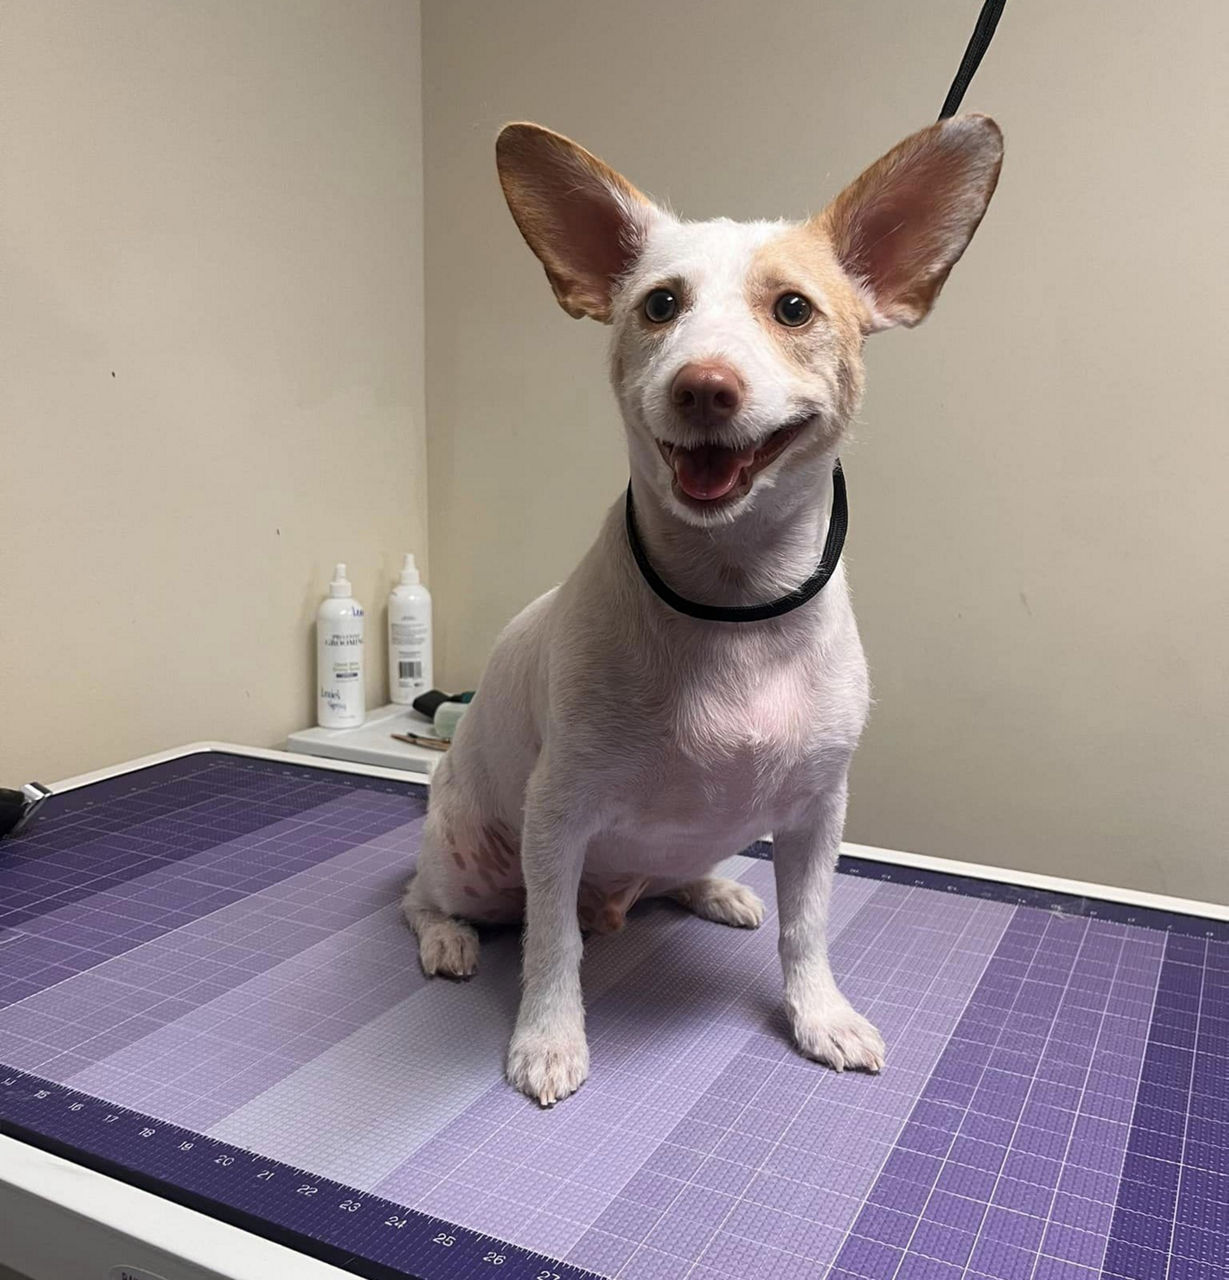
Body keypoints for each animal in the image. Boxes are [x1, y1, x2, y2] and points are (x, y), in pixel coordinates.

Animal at [407, 115, 1003, 1105]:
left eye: (793, 309)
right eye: (659, 305)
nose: (703, 385)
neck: (734, 603)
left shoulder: (818, 811)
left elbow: (808, 928)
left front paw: (820, 1014)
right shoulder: (557, 815)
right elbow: (550, 947)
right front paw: (548, 1037)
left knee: (668, 881)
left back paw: (712, 890)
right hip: (469, 855)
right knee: (433, 904)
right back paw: (449, 939)